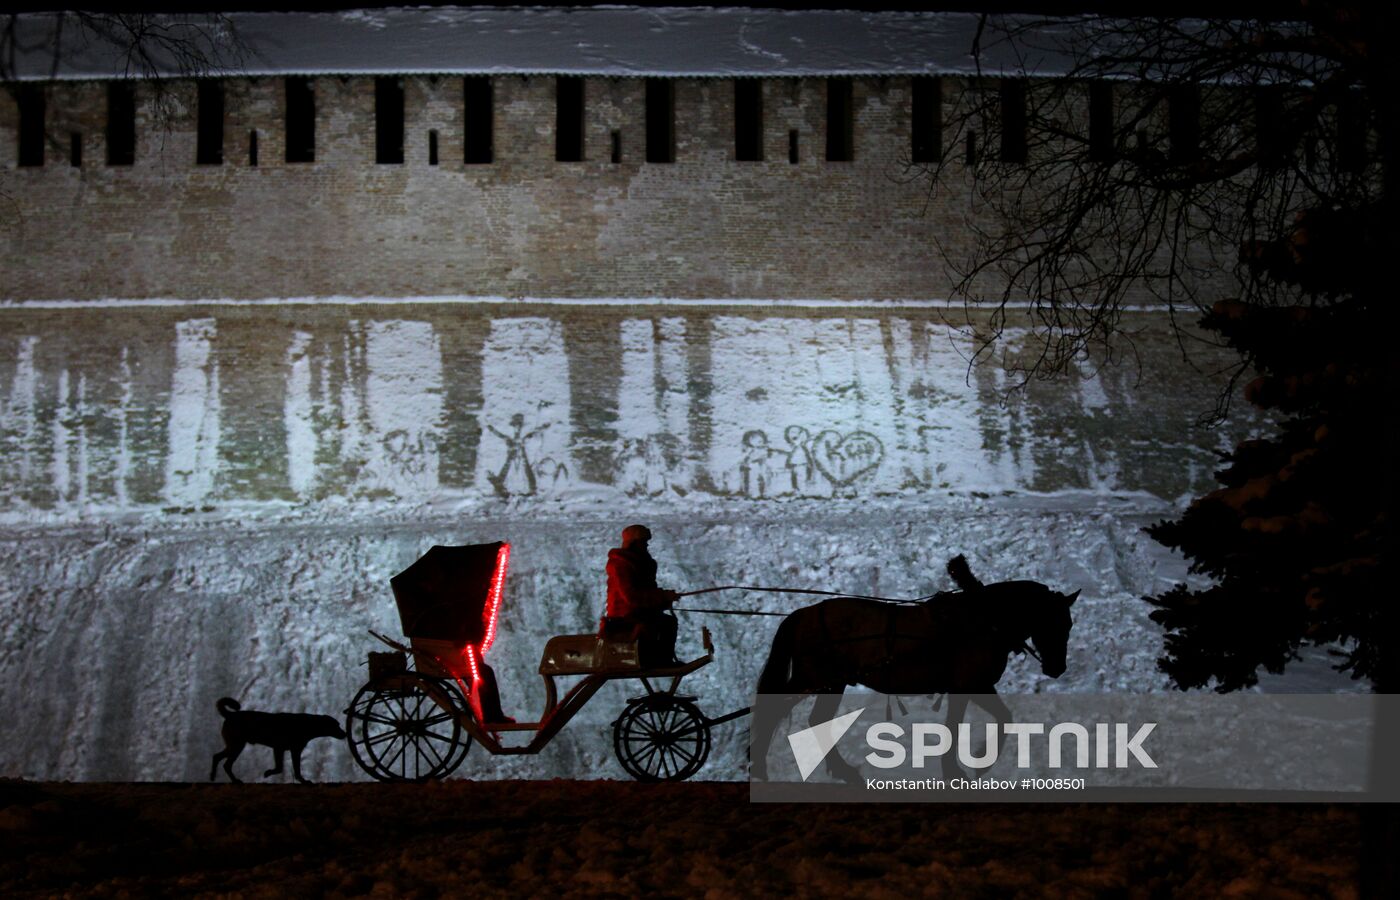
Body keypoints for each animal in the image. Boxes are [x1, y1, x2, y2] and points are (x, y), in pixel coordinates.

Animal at [210, 697, 347, 783]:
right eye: (336, 725)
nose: (345, 734)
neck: (306, 725)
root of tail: (230, 715)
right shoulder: (281, 749)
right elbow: (282, 768)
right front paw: (269, 773)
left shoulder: (290, 750)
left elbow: (292, 769)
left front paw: (302, 780)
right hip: (237, 745)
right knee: (226, 764)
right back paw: (234, 780)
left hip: (234, 745)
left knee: (217, 757)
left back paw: (213, 776)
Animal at [750, 559, 1075, 783]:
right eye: (1053, 622)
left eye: (1069, 624)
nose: (1057, 668)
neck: (984, 619)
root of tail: (804, 614)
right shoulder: (967, 685)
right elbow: (960, 725)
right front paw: (964, 768)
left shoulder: (976, 686)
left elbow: (1000, 717)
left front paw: (976, 762)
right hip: (813, 679)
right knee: (773, 711)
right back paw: (760, 768)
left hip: (831, 684)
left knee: (817, 720)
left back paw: (843, 771)